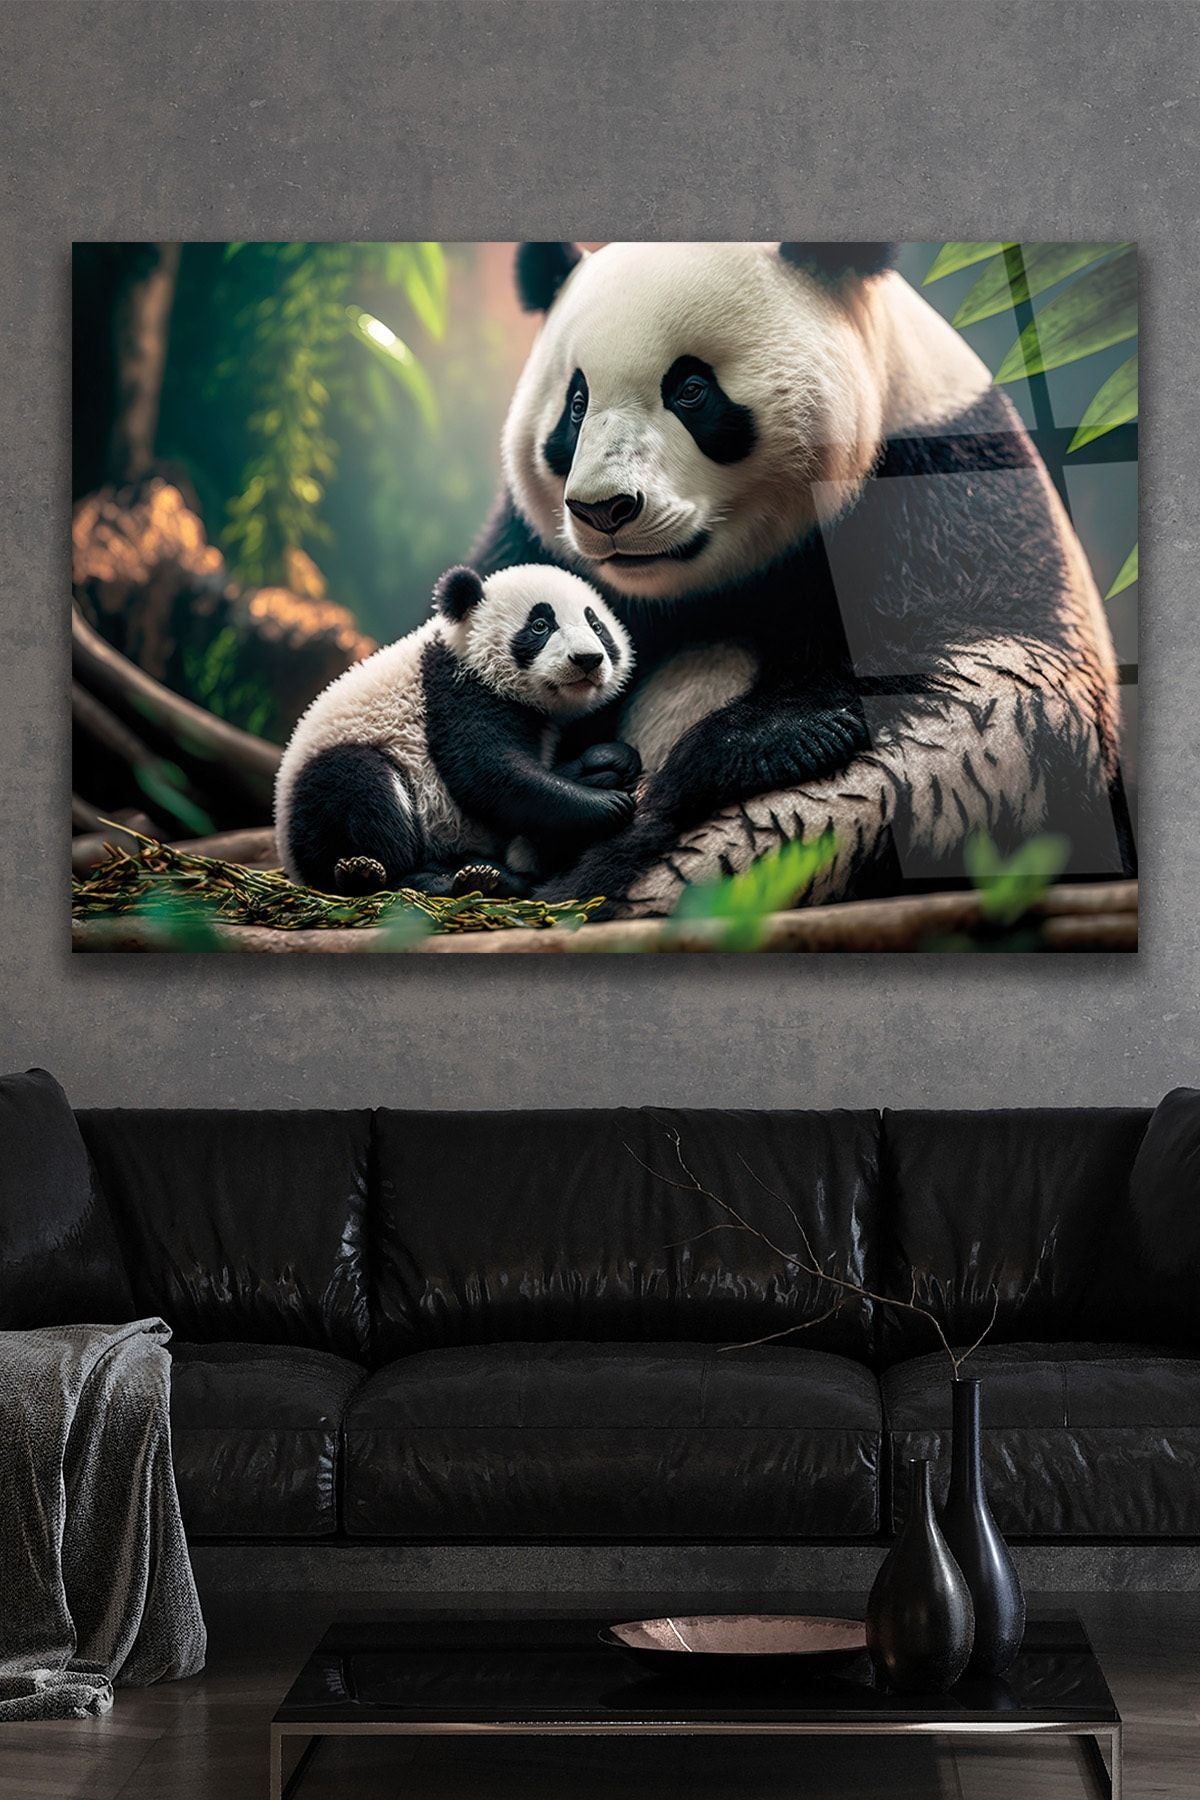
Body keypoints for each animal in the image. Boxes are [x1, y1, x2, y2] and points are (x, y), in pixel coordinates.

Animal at [274, 562, 638, 899]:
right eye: (540, 626)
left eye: (597, 627)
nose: (587, 659)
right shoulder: (455, 690)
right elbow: (489, 772)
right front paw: (605, 804)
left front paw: (608, 760)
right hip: (320, 806)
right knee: (363, 791)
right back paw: (424, 878)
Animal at [472, 240, 1132, 919]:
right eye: (576, 405)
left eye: (691, 390)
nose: (604, 511)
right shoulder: (533, 546)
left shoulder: (945, 492)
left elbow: (963, 677)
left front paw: (762, 741)